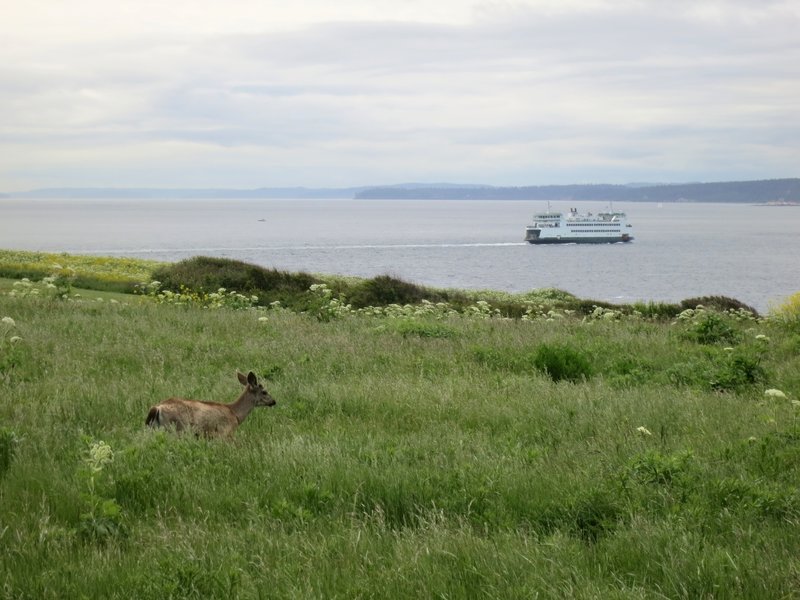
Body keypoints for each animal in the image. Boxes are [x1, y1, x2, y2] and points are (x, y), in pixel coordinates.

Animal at [145, 370, 276, 436]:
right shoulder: (225, 432)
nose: (274, 401)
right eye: (264, 392)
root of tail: (157, 408)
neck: (235, 414)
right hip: (176, 428)